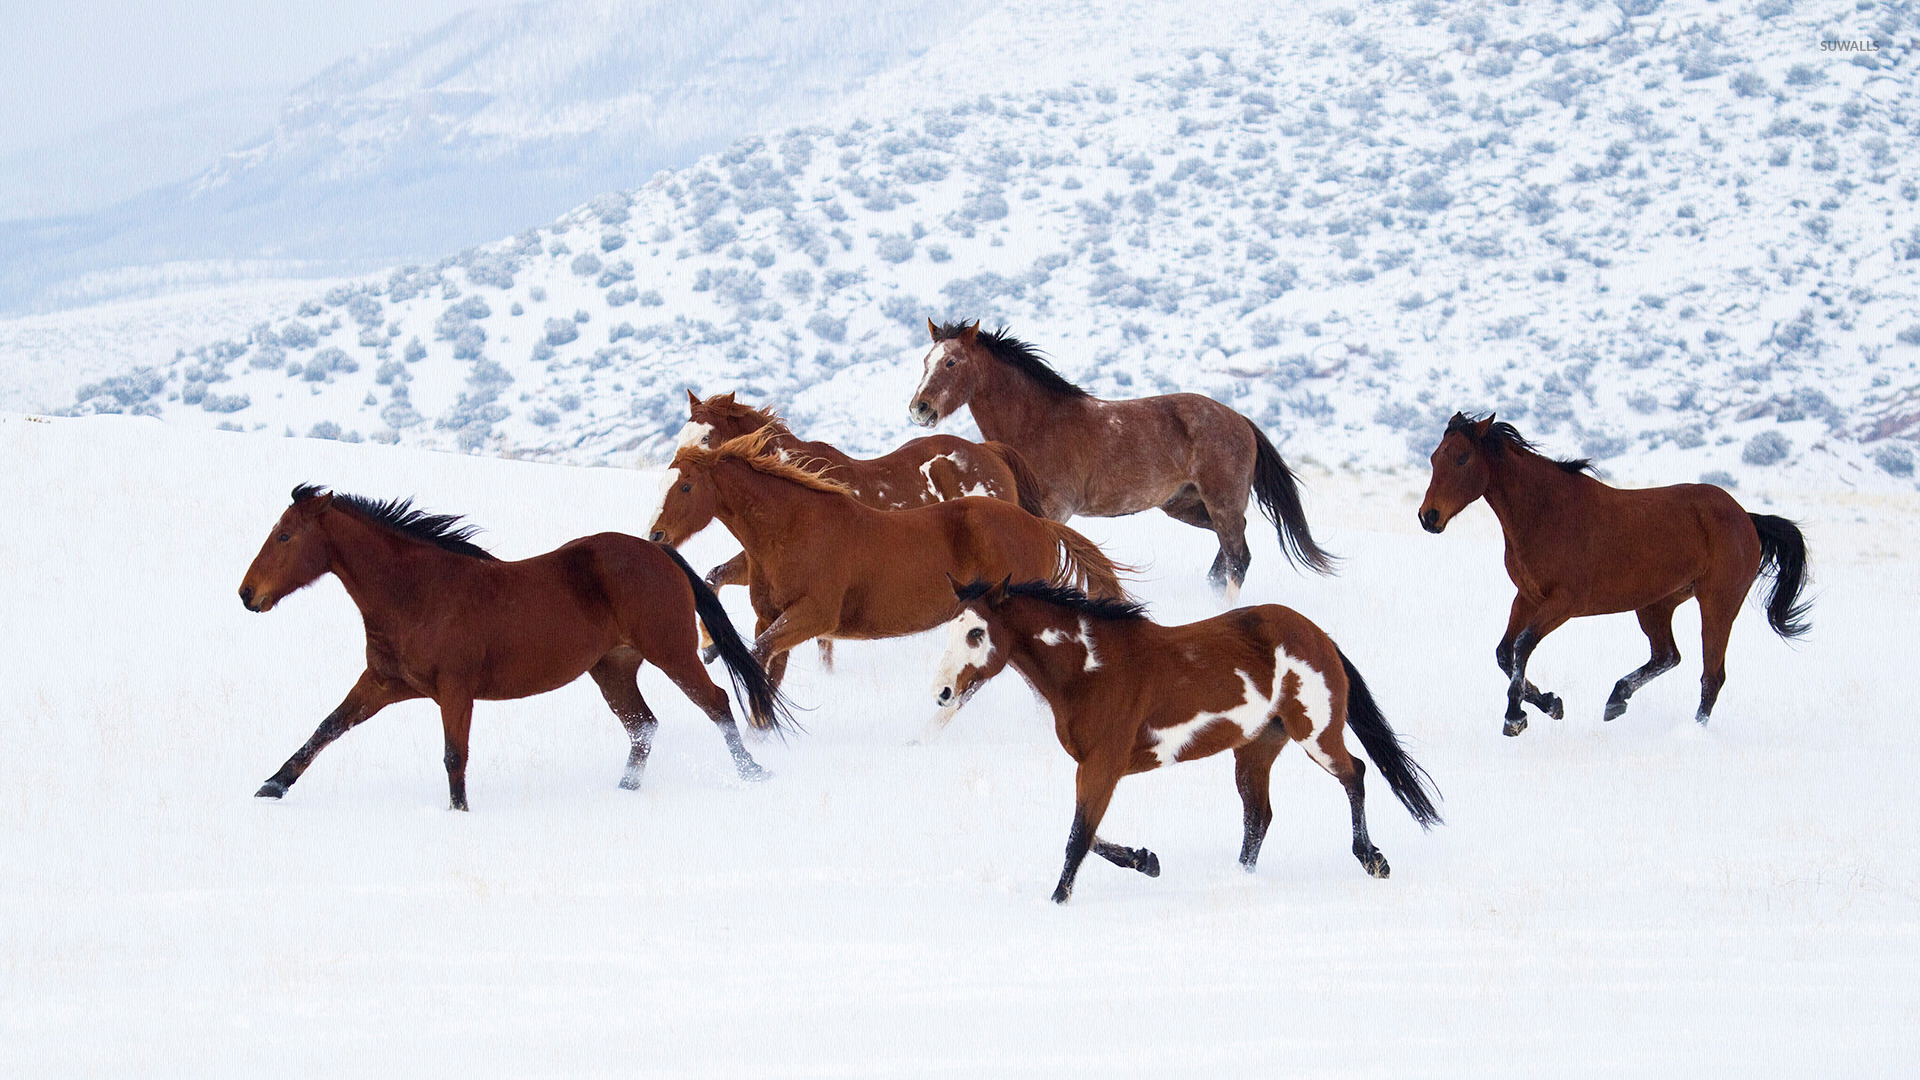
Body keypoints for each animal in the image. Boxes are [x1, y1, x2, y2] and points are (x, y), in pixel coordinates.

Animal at [240, 484, 787, 803]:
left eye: (285, 536)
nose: (247, 594)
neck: (417, 592)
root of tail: (659, 552)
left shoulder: (455, 691)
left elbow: (454, 756)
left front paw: (459, 813)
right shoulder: (383, 683)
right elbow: (327, 727)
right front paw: (272, 785)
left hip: (671, 652)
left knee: (715, 702)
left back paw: (754, 773)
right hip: (612, 668)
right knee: (643, 726)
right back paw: (625, 791)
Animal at [648, 426, 1121, 687]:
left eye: (686, 485)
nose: (655, 535)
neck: (794, 528)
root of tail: (1039, 526)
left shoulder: (814, 616)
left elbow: (759, 654)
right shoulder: (771, 617)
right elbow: (765, 662)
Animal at [902, 315, 1336, 599]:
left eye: (951, 361)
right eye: (925, 362)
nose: (919, 408)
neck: (1037, 423)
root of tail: (1240, 420)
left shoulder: (1055, 510)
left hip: (1221, 501)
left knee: (1238, 558)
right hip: (1185, 506)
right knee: (1229, 552)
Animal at [929, 572, 1443, 899]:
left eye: (977, 633)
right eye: (950, 631)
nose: (943, 692)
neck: (1090, 669)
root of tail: (1316, 633)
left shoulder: (1103, 765)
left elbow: (1078, 837)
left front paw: (1059, 900)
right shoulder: (1097, 768)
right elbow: (1088, 834)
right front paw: (1147, 860)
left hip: (1315, 732)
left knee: (1354, 772)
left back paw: (1373, 859)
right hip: (1256, 749)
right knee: (1258, 816)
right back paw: (1240, 879)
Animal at [1420, 409, 1804, 730]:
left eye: (1462, 458)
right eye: (1435, 457)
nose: (1429, 517)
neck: (1546, 513)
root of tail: (1747, 518)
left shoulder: (1564, 603)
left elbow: (1523, 645)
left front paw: (1515, 717)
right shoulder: (1527, 597)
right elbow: (1505, 653)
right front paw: (1551, 704)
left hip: (1718, 603)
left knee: (1711, 676)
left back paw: (1694, 731)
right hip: (1656, 604)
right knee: (1667, 655)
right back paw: (1616, 700)